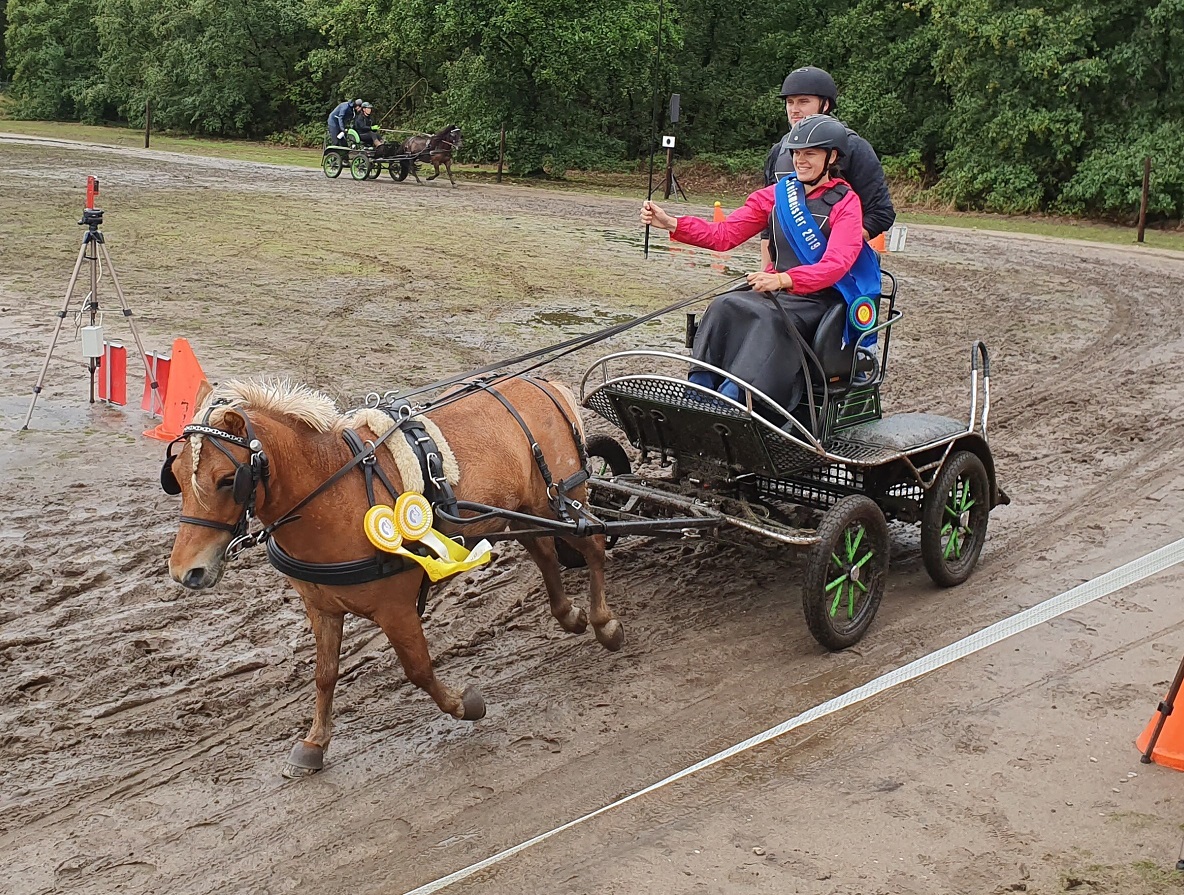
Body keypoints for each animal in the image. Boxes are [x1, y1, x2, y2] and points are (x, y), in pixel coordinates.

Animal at [164, 376, 620, 776]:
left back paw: (604, 623)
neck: (333, 491)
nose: (187, 571)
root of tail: (541, 383)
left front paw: (465, 704)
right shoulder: (321, 607)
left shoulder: (395, 608)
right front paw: (314, 743)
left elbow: (418, 669)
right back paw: (568, 615)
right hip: (520, 513)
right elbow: (324, 675)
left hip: (562, 499)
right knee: (544, 555)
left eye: (228, 480)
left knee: (594, 546)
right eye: (177, 477)